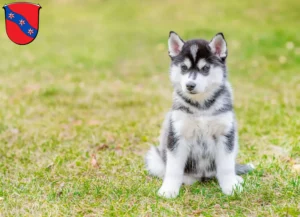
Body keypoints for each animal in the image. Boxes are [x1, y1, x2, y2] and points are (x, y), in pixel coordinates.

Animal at [145, 31, 253, 198]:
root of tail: (203, 176)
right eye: (184, 67)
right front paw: (169, 189)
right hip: (154, 158)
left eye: (205, 68)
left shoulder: (225, 134)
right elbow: (173, 168)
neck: (202, 106)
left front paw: (231, 186)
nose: (190, 85)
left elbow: (226, 166)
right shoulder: (177, 135)